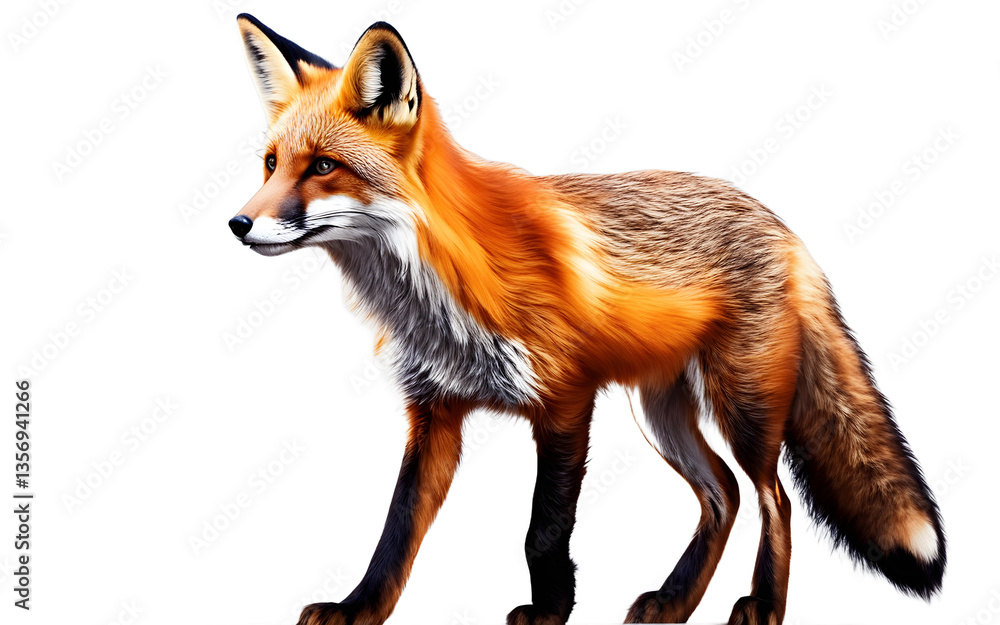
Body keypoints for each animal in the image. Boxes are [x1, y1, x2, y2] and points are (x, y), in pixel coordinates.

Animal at [227, 14, 945, 625]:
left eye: (324, 167)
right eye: (271, 164)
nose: (238, 223)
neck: (438, 287)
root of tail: (781, 224)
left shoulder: (567, 399)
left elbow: (543, 528)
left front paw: (550, 611)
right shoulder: (435, 411)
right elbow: (396, 527)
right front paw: (360, 607)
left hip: (743, 405)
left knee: (775, 497)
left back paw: (763, 604)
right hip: (660, 413)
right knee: (724, 495)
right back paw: (674, 602)